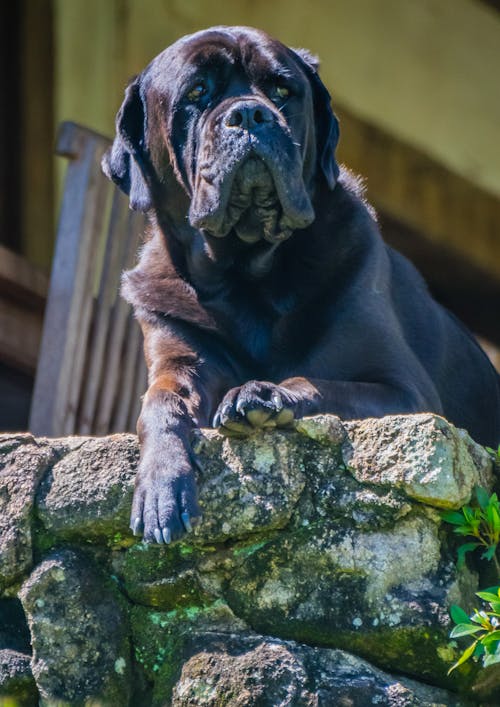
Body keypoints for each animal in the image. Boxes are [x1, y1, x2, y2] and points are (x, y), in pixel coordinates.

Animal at [101, 22, 500, 544]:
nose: (249, 114)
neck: (246, 273)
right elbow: (161, 401)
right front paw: (159, 488)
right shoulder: (178, 352)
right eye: (197, 93)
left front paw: (261, 393)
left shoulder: (405, 392)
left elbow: (319, 381)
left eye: (281, 91)